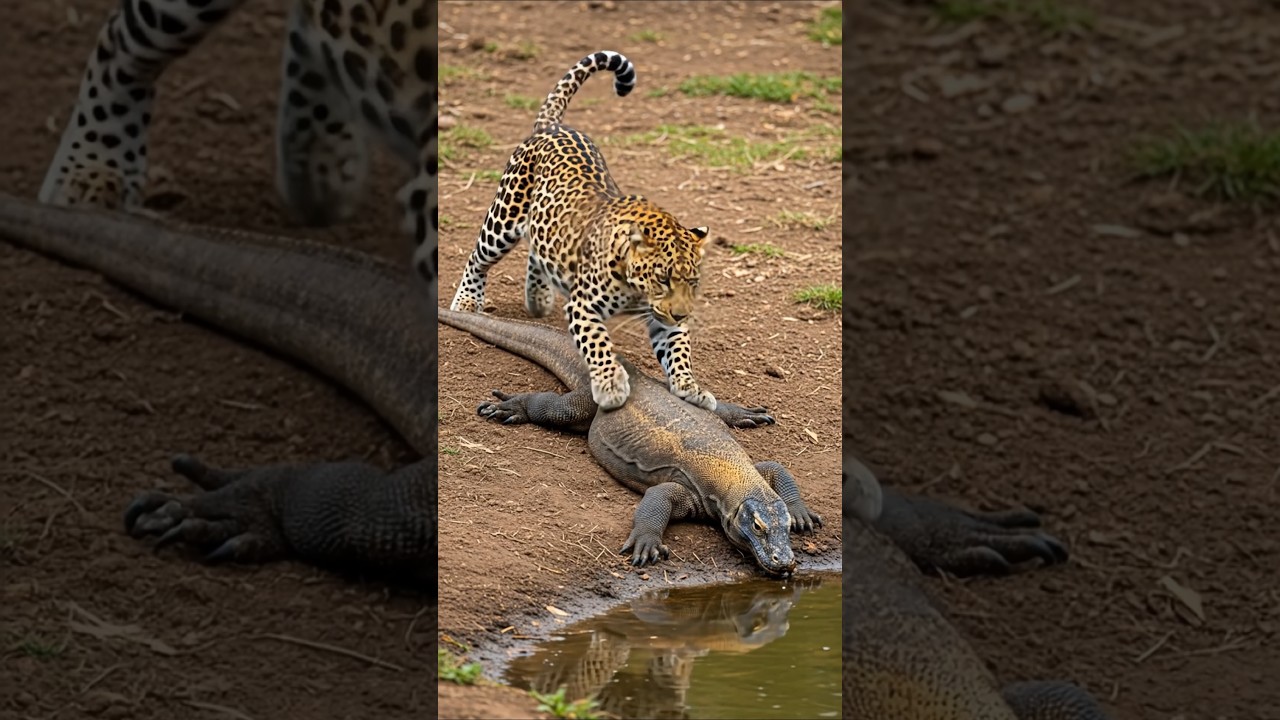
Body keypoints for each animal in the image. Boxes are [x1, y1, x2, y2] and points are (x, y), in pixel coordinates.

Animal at [448, 50, 716, 413]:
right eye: (662, 279)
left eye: (693, 282)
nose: (681, 313)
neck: (635, 289)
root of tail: (552, 125)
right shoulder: (583, 306)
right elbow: (598, 344)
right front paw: (610, 386)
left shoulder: (663, 316)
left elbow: (678, 348)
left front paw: (690, 386)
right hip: (504, 217)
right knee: (478, 258)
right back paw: (465, 301)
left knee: (538, 247)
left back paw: (538, 297)